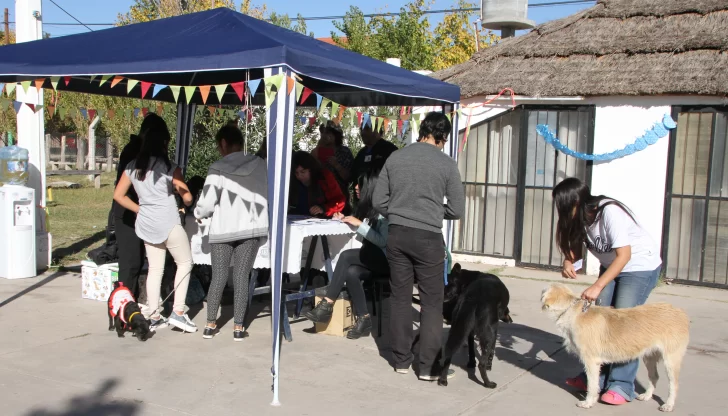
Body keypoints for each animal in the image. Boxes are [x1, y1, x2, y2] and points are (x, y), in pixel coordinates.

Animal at [540, 282, 688, 412]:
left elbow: (592, 385)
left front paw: (588, 402)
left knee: (674, 384)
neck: (574, 312)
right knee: (654, 376)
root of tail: (681, 312)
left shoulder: (591, 361)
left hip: (671, 359)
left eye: (545, 290)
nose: (541, 293)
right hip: (649, 356)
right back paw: (647, 396)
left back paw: (668, 405)